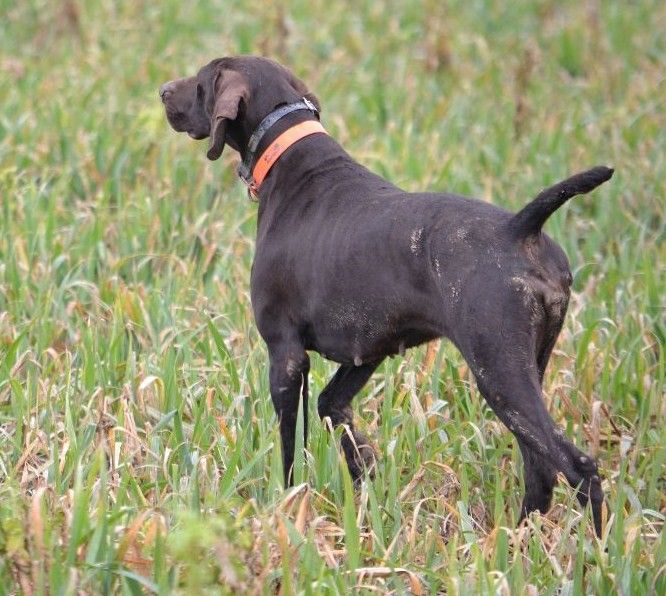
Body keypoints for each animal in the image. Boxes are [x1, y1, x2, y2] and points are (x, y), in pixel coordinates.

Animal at [158, 56, 608, 536]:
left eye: (202, 82)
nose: (164, 91)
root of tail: (520, 227)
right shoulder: (367, 350)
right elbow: (333, 410)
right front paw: (369, 486)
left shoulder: (285, 355)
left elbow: (291, 449)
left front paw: (287, 506)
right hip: (525, 372)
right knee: (540, 468)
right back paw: (515, 539)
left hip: (499, 374)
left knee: (578, 466)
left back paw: (594, 550)